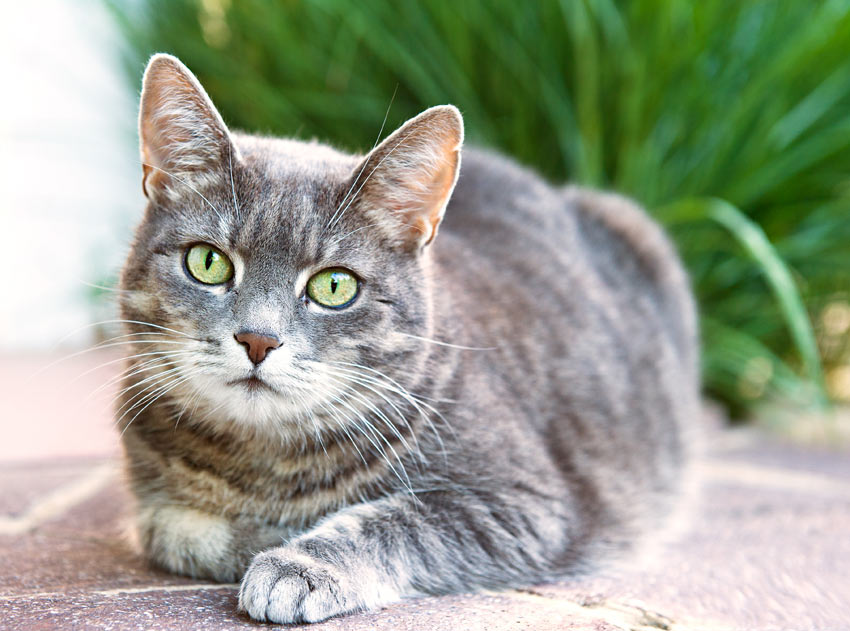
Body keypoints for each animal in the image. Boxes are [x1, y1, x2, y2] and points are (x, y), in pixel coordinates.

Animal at [119, 55, 700, 628]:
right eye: (208, 262)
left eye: (334, 286)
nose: (258, 339)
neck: (264, 463)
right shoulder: (153, 502)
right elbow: (180, 531)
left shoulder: (527, 505)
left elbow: (397, 522)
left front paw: (296, 563)